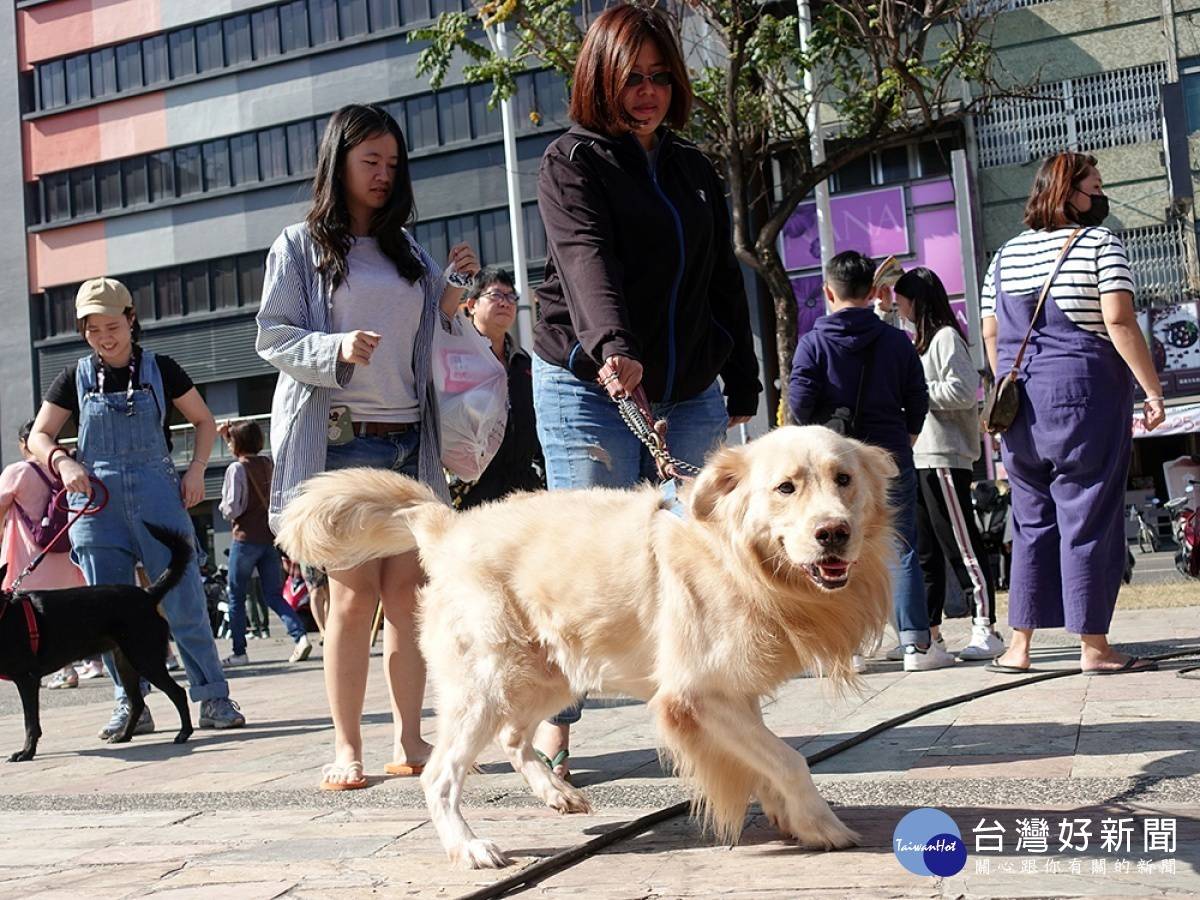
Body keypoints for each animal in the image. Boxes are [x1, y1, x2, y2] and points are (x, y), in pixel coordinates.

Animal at [1, 525, 194, 763]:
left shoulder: (27, 679)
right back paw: (123, 736)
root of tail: (148, 595)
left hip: (144, 659)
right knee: (137, 702)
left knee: (178, 693)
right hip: (125, 663)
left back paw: (184, 733)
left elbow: (30, 722)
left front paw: (26, 752)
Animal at [278, 427, 892, 868]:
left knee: (513, 737)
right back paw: (471, 848)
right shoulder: (696, 696)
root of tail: (447, 526)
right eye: (786, 488)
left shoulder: (730, 695)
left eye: (843, 479)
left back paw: (556, 793)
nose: (834, 533)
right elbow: (788, 758)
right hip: (488, 682)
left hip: (550, 674)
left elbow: (766, 757)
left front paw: (790, 816)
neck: (737, 557)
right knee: (441, 775)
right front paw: (822, 824)